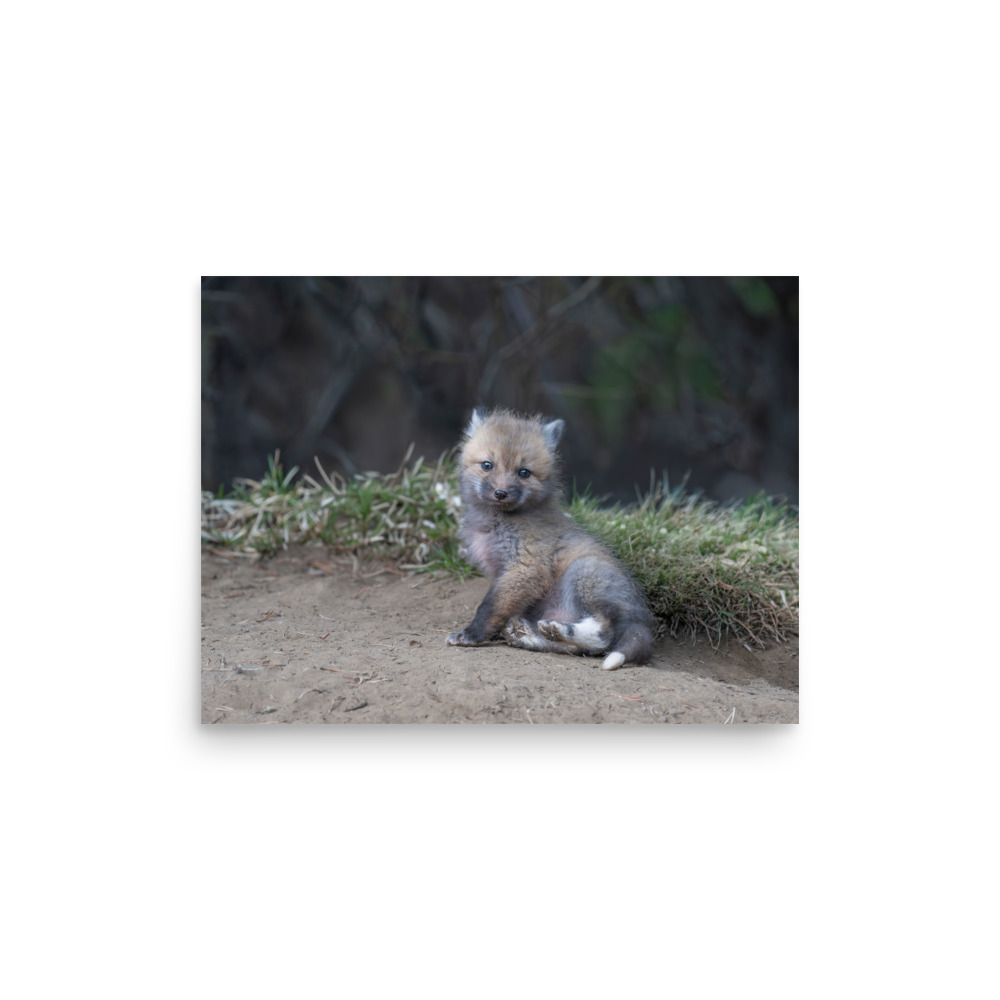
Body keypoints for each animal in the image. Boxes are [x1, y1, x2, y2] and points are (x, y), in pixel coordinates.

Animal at [445, 407, 655, 669]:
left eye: (524, 472)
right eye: (487, 465)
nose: (500, 493)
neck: (498, 523)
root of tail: (642, 618)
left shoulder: (526, 567)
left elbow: (489, 607)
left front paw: (471, 635)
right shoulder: (503, 573)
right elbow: (499, 607)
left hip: (583, 573)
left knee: (603, 635)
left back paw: (557, 630)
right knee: (578, 649)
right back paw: (532, 636)